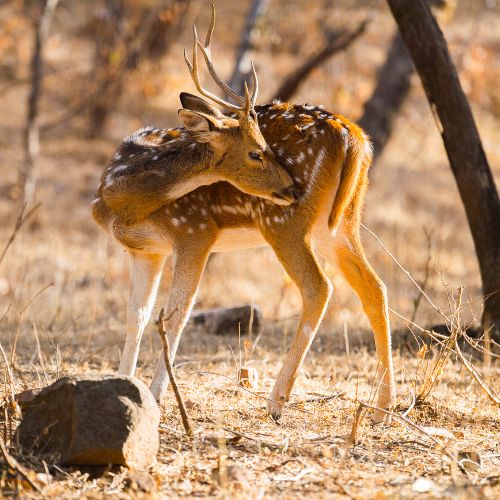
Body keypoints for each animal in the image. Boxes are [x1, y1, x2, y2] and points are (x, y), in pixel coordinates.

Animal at [93, 6, 394, 422]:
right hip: (340, 223)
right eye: (256, 152)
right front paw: (124, 387)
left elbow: (174, 315)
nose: (292, 186)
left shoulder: (194, 232)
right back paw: (382, 408)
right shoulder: (146, 251)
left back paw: (277, 400)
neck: (119, 198)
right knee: (374, 287)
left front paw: (156, 396)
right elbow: (136, 315)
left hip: (283, 223)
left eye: (266, 145)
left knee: (319, 287)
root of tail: (355, 137)